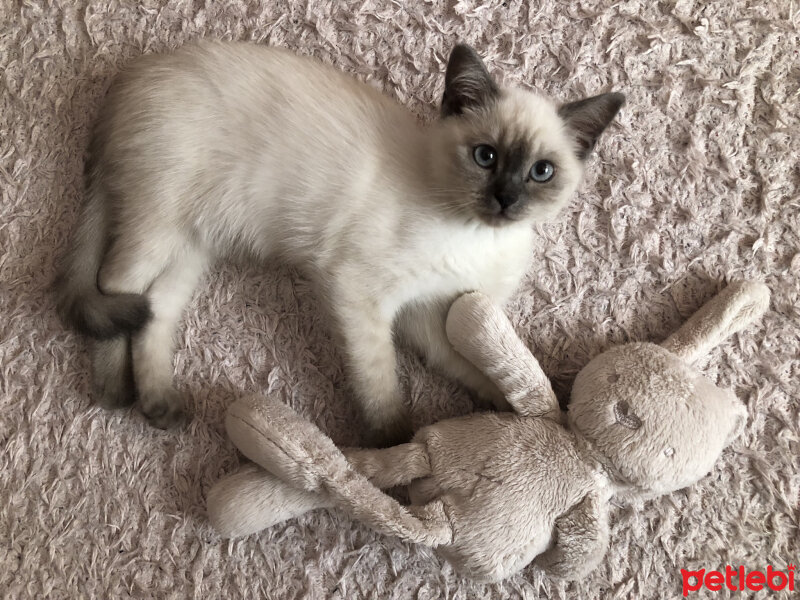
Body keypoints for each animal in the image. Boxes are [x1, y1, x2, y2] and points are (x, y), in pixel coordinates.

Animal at [56, 41, 624, 446]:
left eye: (541, 172)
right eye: (485, 157)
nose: (505, 200)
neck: (474, 235)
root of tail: (130, 79)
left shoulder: (430, 313)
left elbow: (476, 367)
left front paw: (521, 409)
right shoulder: (361, 293)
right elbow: (381, 384)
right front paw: (397, 453)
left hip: (192, 242)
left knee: (154, 309)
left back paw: (158, 403)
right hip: (159, 219)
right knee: (115, 288)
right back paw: (114, 392)